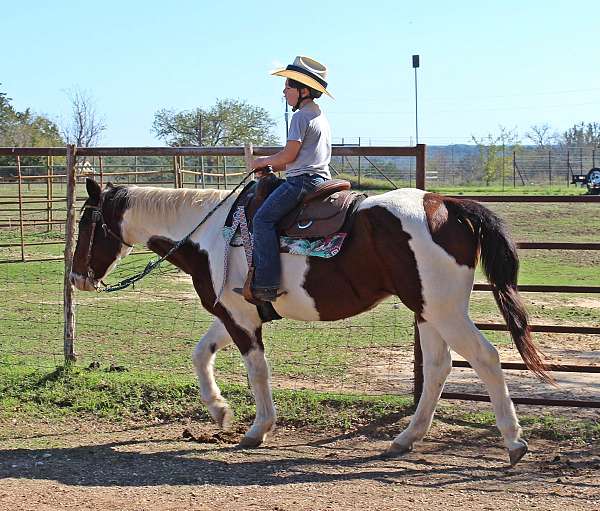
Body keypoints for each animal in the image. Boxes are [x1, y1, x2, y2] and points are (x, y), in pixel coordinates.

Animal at [70, 178, 548, 466]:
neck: (207, 234)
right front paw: (220, 411)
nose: (77, 278)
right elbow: (200, 353)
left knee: (486, 358)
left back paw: (514, 442)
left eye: (86, 223)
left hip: (445, 311)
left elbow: (257, 371)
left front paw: (257, 428)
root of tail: (445, 203)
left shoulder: (239, 317)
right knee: (438, 368)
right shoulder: (235, 312)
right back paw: (405, 438)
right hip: (428, 312)